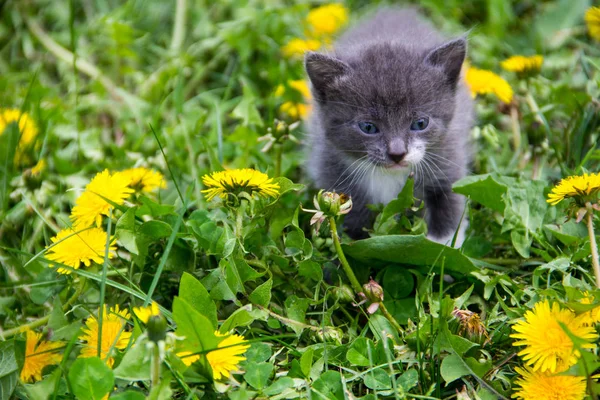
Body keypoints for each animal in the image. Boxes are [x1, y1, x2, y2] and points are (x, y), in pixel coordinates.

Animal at [304, 9, 474, 245]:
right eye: (368, 127)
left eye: (420, 123)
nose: (397, 153)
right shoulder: (331, 169)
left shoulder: (448, 158)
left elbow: (449, 202)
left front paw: (442, 244)